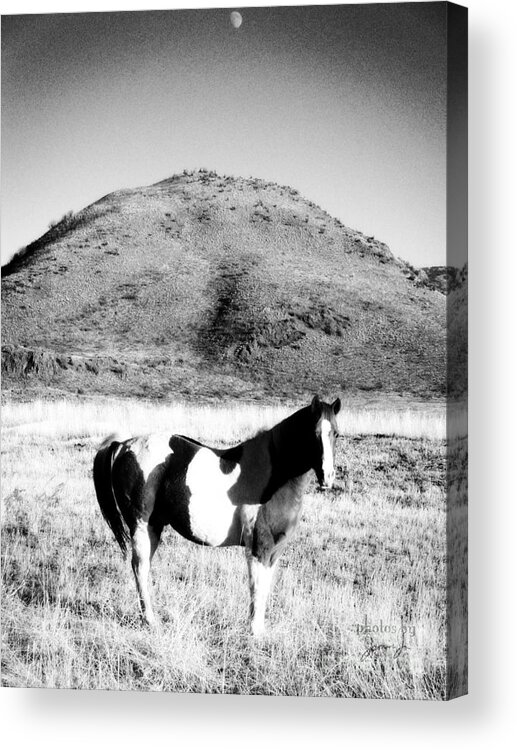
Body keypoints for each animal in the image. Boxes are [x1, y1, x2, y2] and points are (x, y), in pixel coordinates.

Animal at [92, 396, 340, 636]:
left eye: (336, 434)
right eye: (314, 433)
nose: (327, 478)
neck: (274, 475)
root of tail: (123, 446)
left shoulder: (274, 551)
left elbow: (264, 588)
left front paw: (259, 629)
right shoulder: (259, 546)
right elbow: (256, 587)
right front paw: (255, 632)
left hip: (154, 528)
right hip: (141, 527)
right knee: (140, 568)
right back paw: (151, 620)